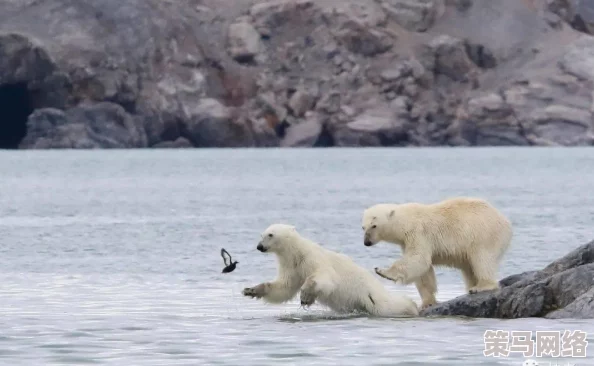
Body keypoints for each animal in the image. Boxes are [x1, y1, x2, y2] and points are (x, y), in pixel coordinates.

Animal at [239, 223, 416, 318]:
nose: (259, 246)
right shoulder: (291, 267)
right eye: (261, 235)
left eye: (270, 234)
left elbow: (324, 278)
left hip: (372, 297)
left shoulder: (312, 258)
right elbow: (284, 287)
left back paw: (411, 306)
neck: (296, 253)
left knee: (390, 305)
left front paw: (305, 295)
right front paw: (251, 290)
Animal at [358, 197, 512, 308]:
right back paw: (471, 286)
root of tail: (505, 222)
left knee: (482, 259)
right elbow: (424, 272)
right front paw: (427, 302)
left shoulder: (418, 233)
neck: (407, 220)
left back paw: (481, 287)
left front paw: (383, 271)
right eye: (363, 227)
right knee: (469, 267)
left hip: (483, 234)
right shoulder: (406, 241)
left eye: (374, 225)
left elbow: (418, 259)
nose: (366, 242)